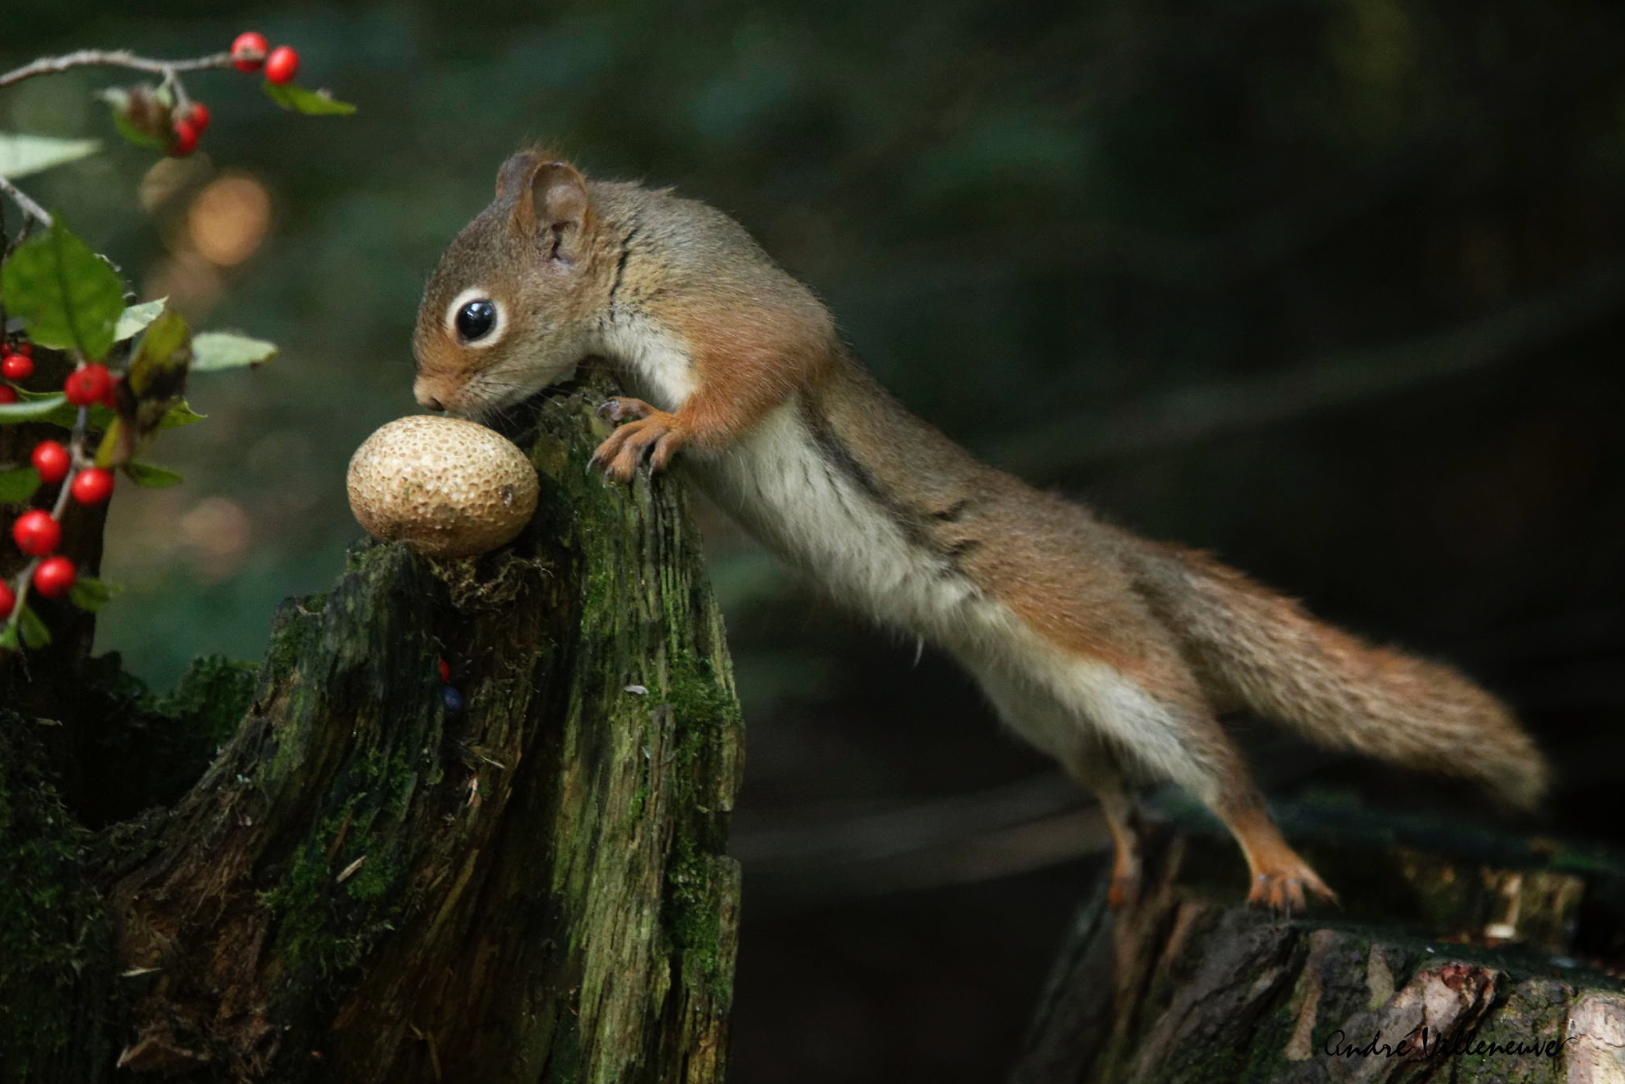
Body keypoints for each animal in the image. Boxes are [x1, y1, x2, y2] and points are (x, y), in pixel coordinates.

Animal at [409, 148, 1547, 910]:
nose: (423, 399)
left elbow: (755, 371)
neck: (624, 263)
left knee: (1217, 773)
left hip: (1125, 661)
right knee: (1115, 785)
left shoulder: (731, 312)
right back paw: (1125, 856)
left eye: (477, 317)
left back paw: (1272, 861)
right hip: (1035, 705)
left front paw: (659, 427)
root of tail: (1106, 546)